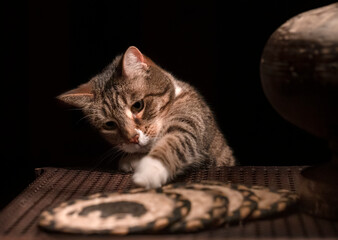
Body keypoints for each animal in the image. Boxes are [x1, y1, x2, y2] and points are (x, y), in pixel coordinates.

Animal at [57, 46, 235, 188]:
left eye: (137, 106)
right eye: (109, 124)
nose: (133, 138)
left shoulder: (191, 121)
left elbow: (176, 141)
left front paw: (148, 171)